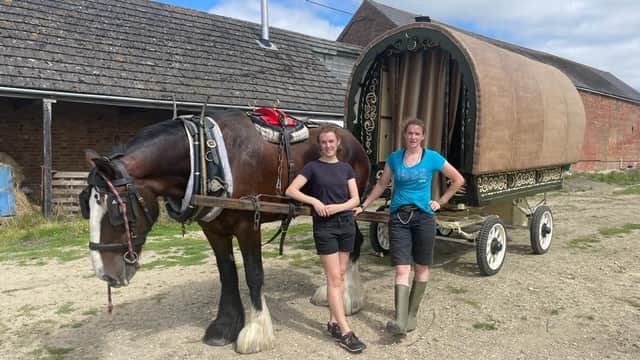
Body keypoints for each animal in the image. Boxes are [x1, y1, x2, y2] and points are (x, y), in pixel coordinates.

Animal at [80, 108, 370, 352]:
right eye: (87, 205)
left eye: (116, 209)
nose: (105, 274)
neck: (204, 159)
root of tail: (352, 139)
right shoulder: (213, 228)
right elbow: (227, 274)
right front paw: (225, 326)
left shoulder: (248, 224)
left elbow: (253, 274)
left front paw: (256, 332)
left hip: (348, 207)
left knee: (354, 242)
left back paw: (348, 298)